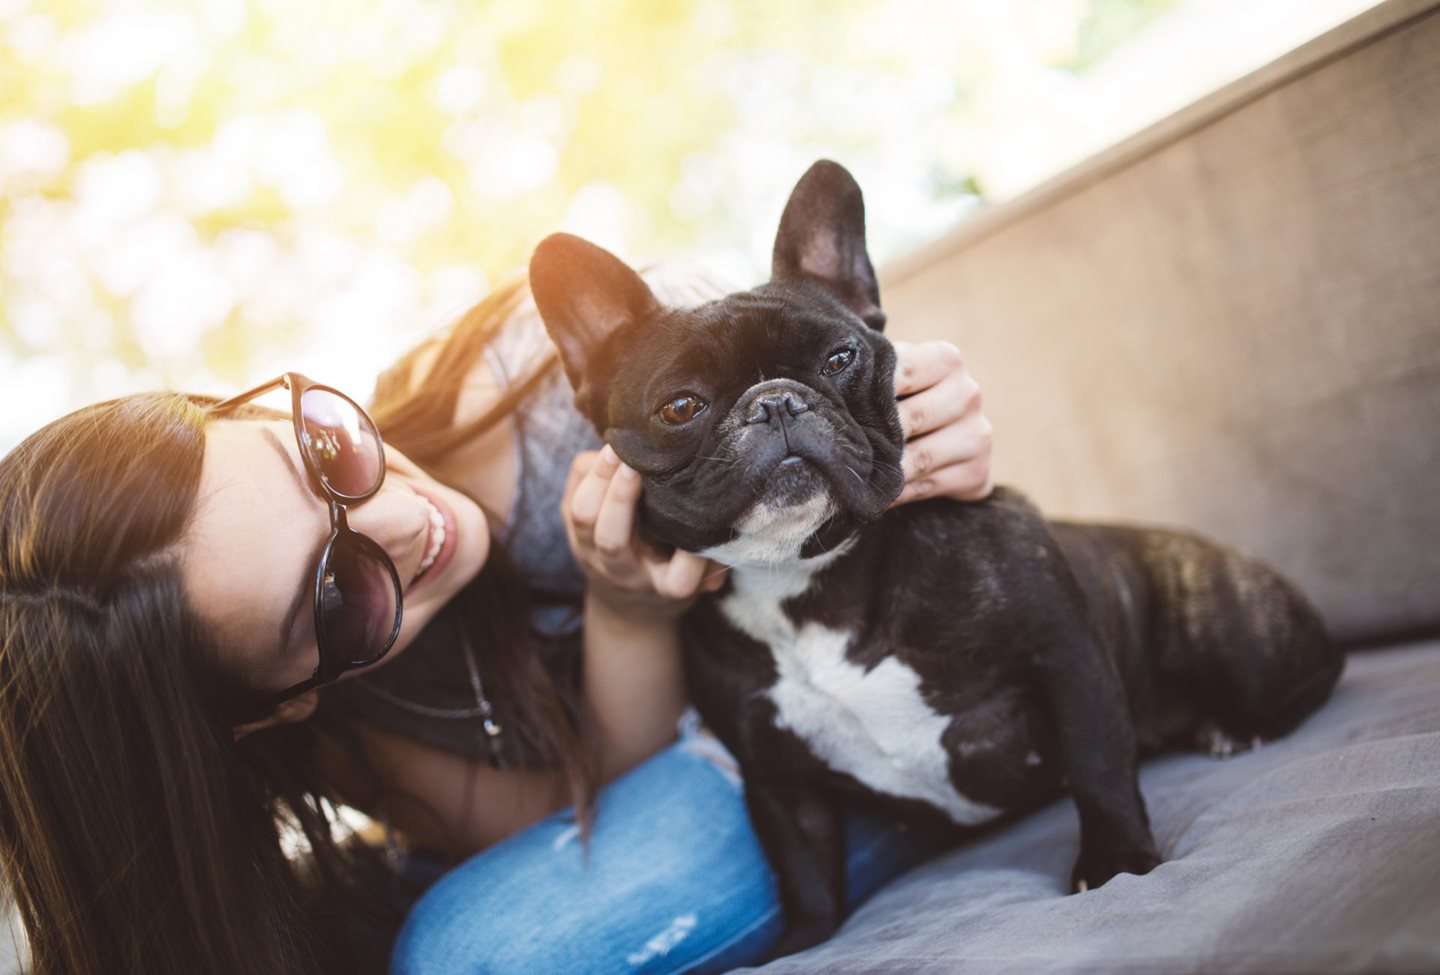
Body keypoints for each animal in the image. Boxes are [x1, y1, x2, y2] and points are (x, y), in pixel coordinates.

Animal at [529, 163, 1347, 956]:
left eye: (840, 357)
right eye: (681, 406)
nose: (776, 401)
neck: (805, 577)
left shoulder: (1065, 652)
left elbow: (1098, 764)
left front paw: (1117, 862)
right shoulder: (773, 772)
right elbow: (803, 865)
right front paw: (805, 941)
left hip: (1236, 638)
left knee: (1318, 669)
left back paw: (1233, 726)